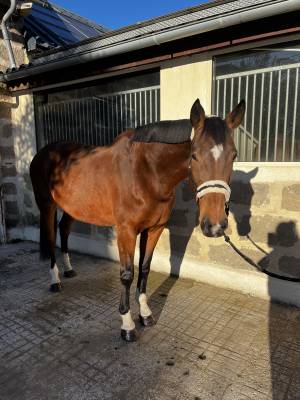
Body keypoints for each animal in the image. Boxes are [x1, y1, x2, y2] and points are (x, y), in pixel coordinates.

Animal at [29, 99, 246, 340]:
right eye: (194, 155)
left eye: (234, 155)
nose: (215, 225)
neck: (146, 172)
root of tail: (43, 153)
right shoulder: (127, 231)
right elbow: (127, 274)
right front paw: (127, 325)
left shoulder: (154, 229)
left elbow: (144, 268)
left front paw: (145, 314)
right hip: (47, 205)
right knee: (51, 237)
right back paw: (55, 280)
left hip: (74, 208)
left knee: (64, 229)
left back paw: (68, 270)